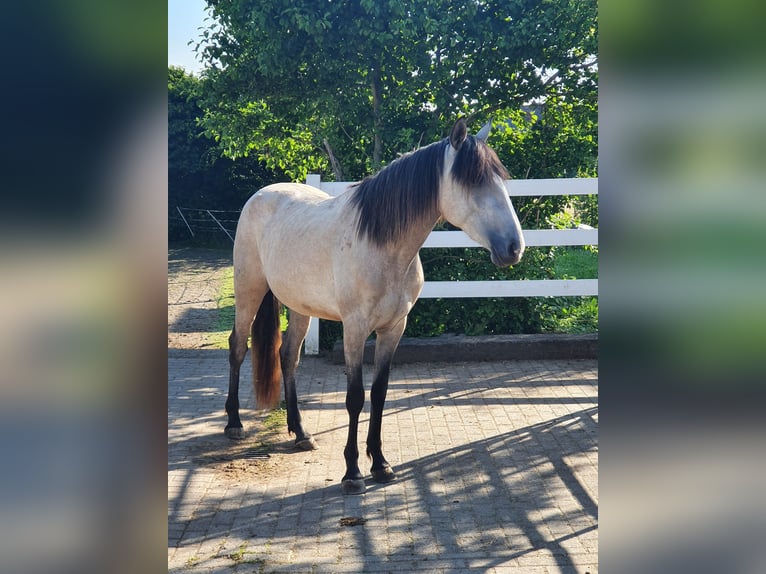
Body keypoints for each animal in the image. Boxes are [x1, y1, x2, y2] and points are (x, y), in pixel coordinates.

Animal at [225, 118, 524, 496]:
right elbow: (355, 397)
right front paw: (352, 471)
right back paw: (234, 423)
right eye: (473, 182)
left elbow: (379, 394)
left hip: (300, 306)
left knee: (288, 356)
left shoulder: (393, 328)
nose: (514, 247)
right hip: (248, 290)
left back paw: (301, 433)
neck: (383, 246)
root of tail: (261, 195)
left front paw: (380, 464)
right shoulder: (355, 329)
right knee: (238, 347)